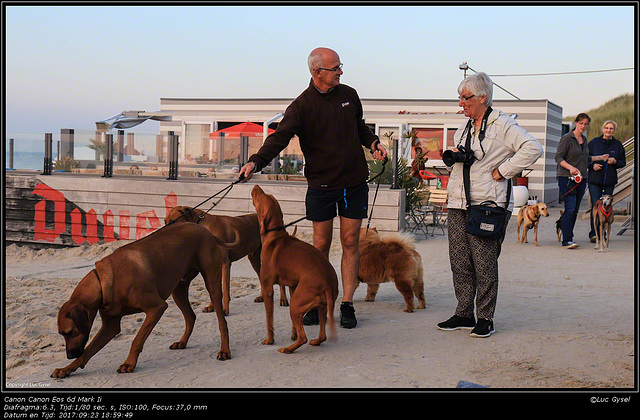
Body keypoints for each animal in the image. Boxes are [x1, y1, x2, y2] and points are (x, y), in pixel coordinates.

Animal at [50, 221, 235, 378]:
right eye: (61, 334)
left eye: (70, 332)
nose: (69, 355)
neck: (102, 283)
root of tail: (204, 229)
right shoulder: (110, 326)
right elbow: (88, 351)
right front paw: (67, 368)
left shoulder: (157, 308)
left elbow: (137, 339)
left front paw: (128, 364)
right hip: (178, 289)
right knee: (191, 316)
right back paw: (182, 342)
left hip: (212, 283)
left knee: (221, 321)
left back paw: (225, 350)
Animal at [251, 185, 340, 352]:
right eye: (269, 196)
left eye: (261, 197)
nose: (255, 186)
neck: (275, 235)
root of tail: (328, 283)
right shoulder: (292, 287)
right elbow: (293, 325)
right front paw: (293, 334)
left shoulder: (267, 289)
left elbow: (269, 319)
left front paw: (270, 340)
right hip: (320, 306)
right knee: (322, 335)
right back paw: (314, 341)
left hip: (295, 305)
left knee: (304, 338)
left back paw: (288, 349)